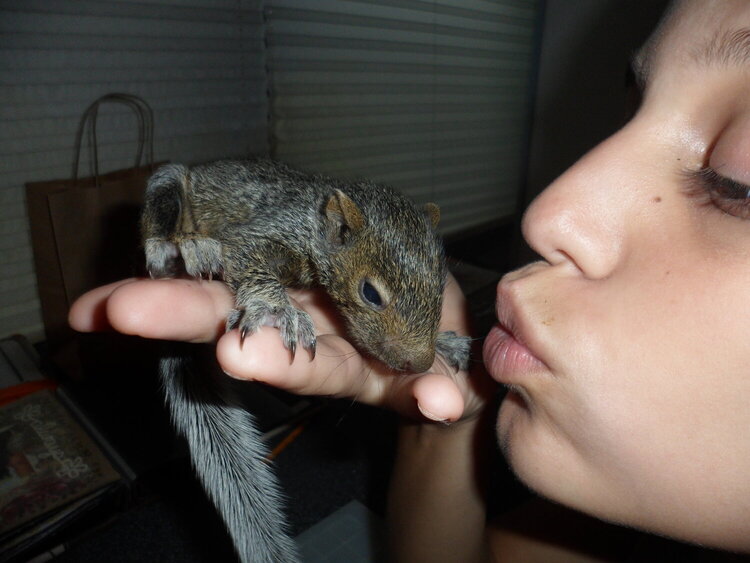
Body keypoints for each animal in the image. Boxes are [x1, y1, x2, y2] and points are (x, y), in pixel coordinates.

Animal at [140, 159, 470, 563]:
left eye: (441, 289)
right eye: (370, 293)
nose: (420, 363)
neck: (316, 218)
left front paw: (445, 343)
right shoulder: (269, 229)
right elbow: (245, 250)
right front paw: (276, 309)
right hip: (171, 186)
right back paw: (183, 246)